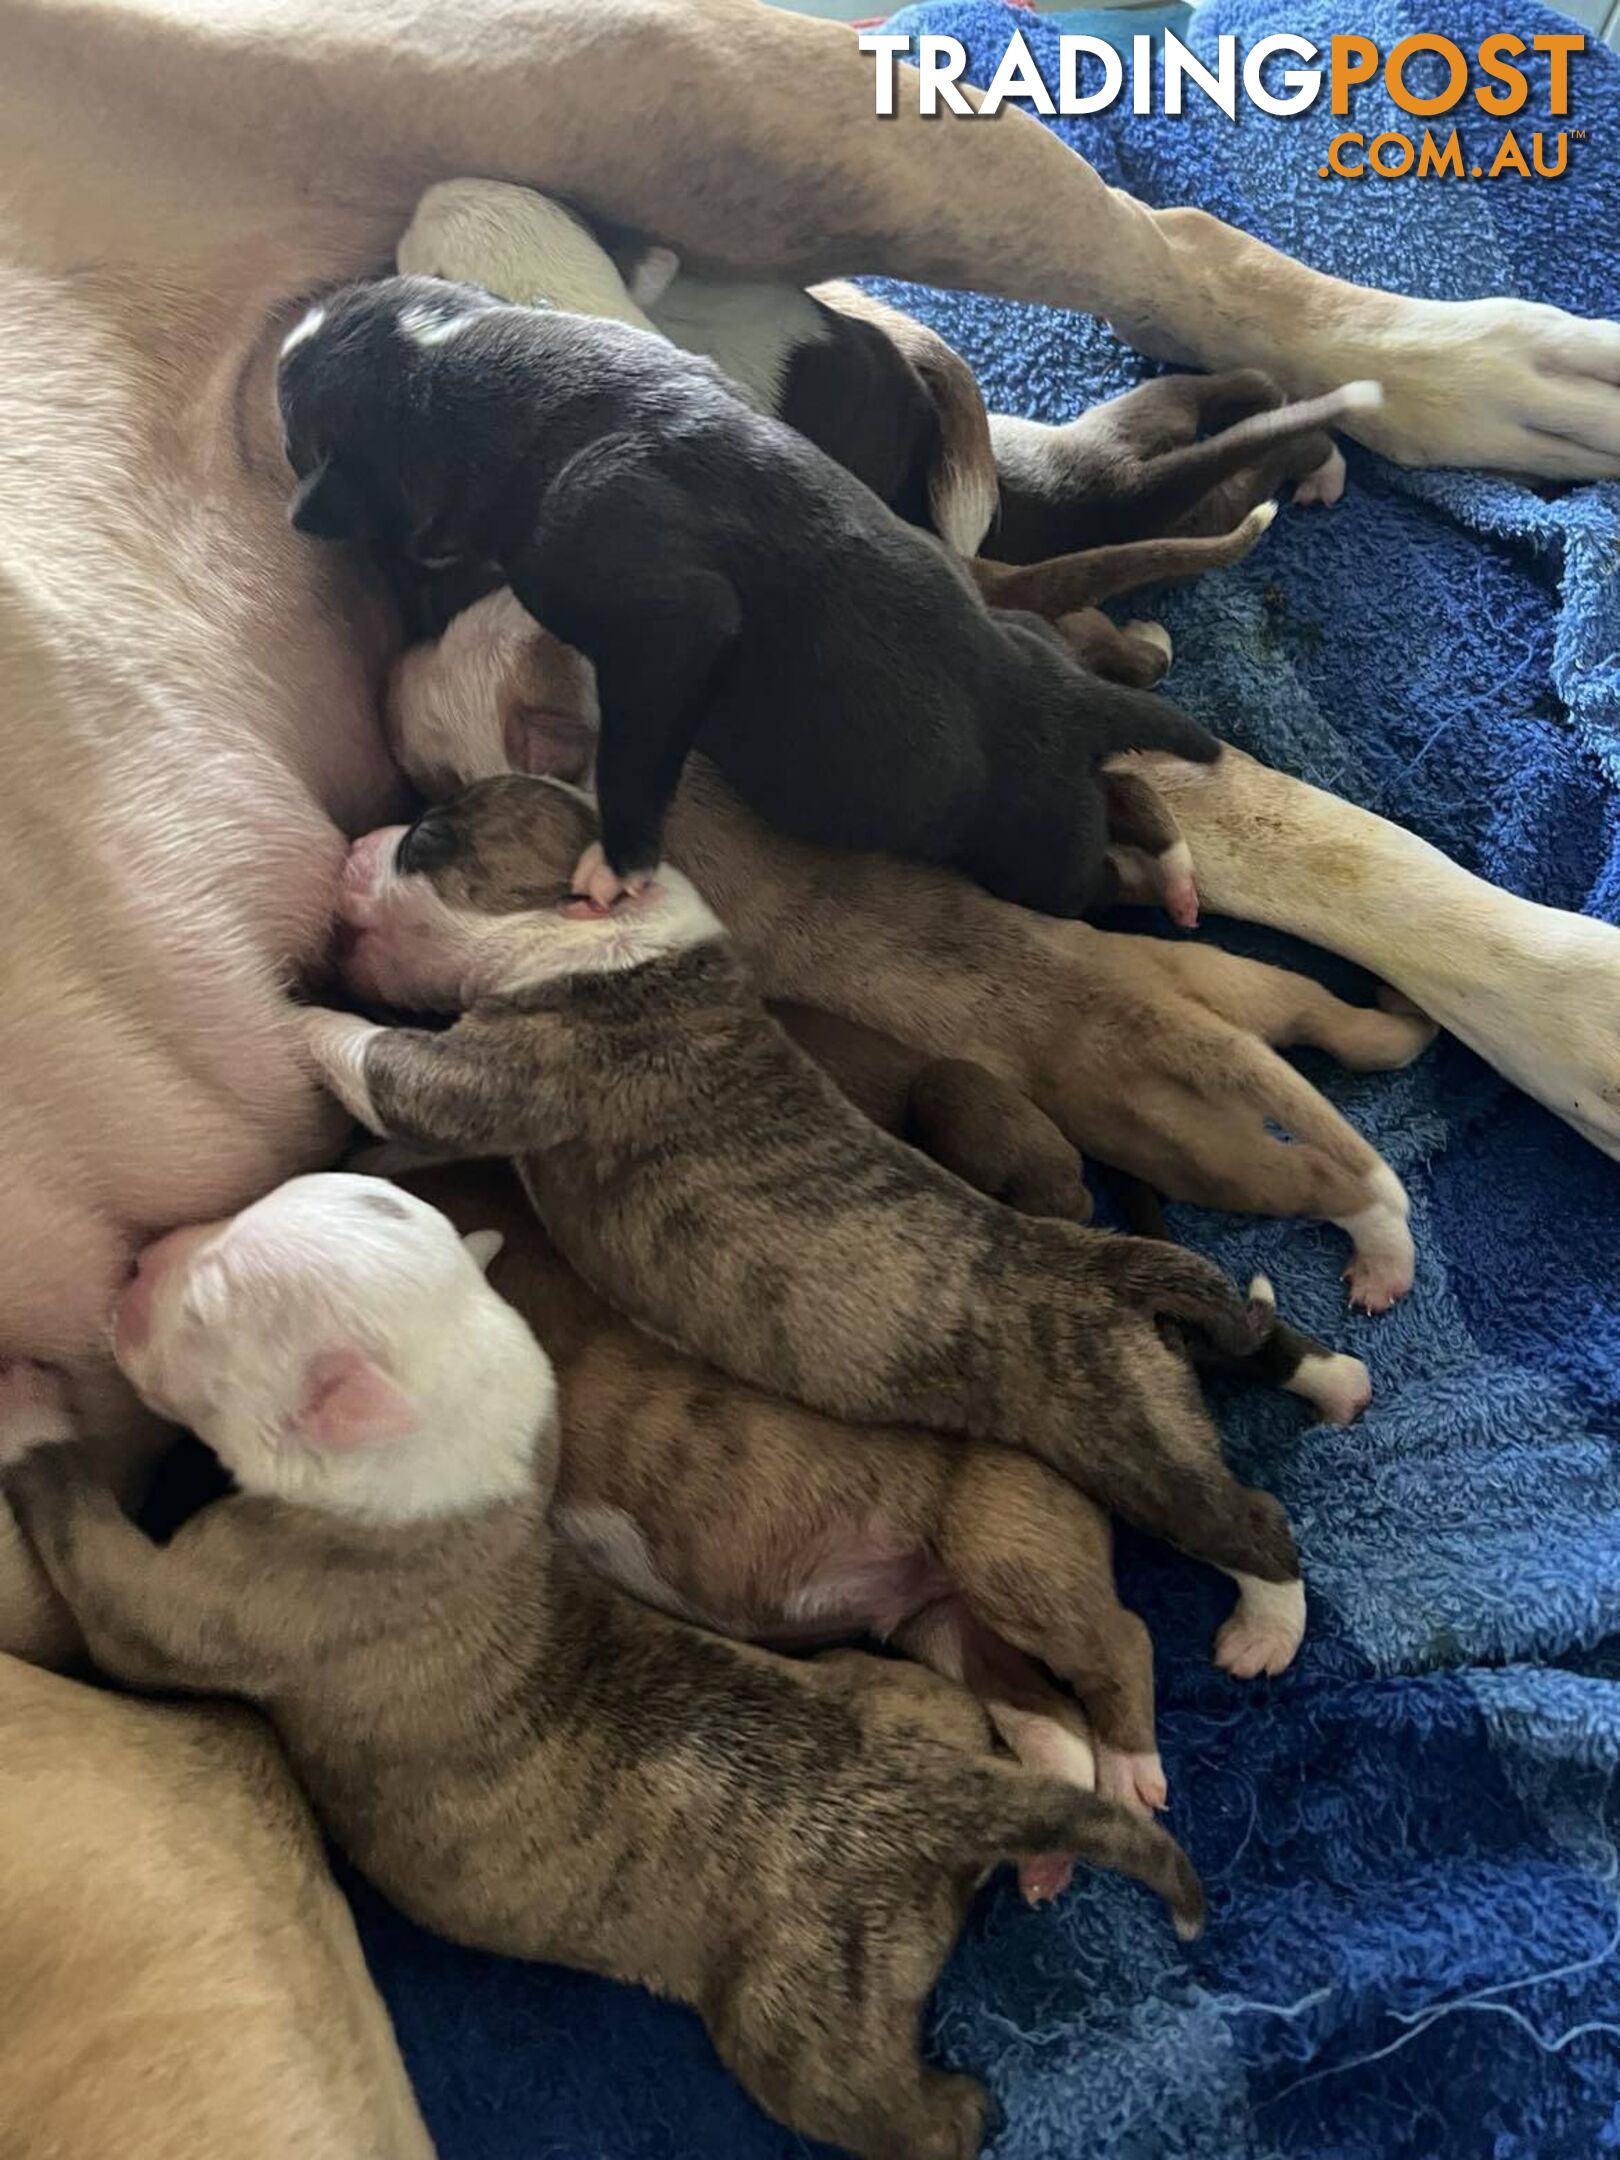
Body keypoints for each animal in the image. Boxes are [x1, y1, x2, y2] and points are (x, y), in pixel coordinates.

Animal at [278, 272, 1218, 911]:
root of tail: (1073, 705)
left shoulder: (657, 606)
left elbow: (640, 738)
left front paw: (618, 863)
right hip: (1032, 648)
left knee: (1095, 880)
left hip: (1036, 854)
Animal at [306, 777, 1304, 1624]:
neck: (617, 937)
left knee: (1247, 1525)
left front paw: (300, 1015)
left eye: (429, 842)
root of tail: (1120, 1271)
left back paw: (1264, 1628)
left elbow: (376, 1055)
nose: (356, 842)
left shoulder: (498, 1070)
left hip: (1129, 1439)